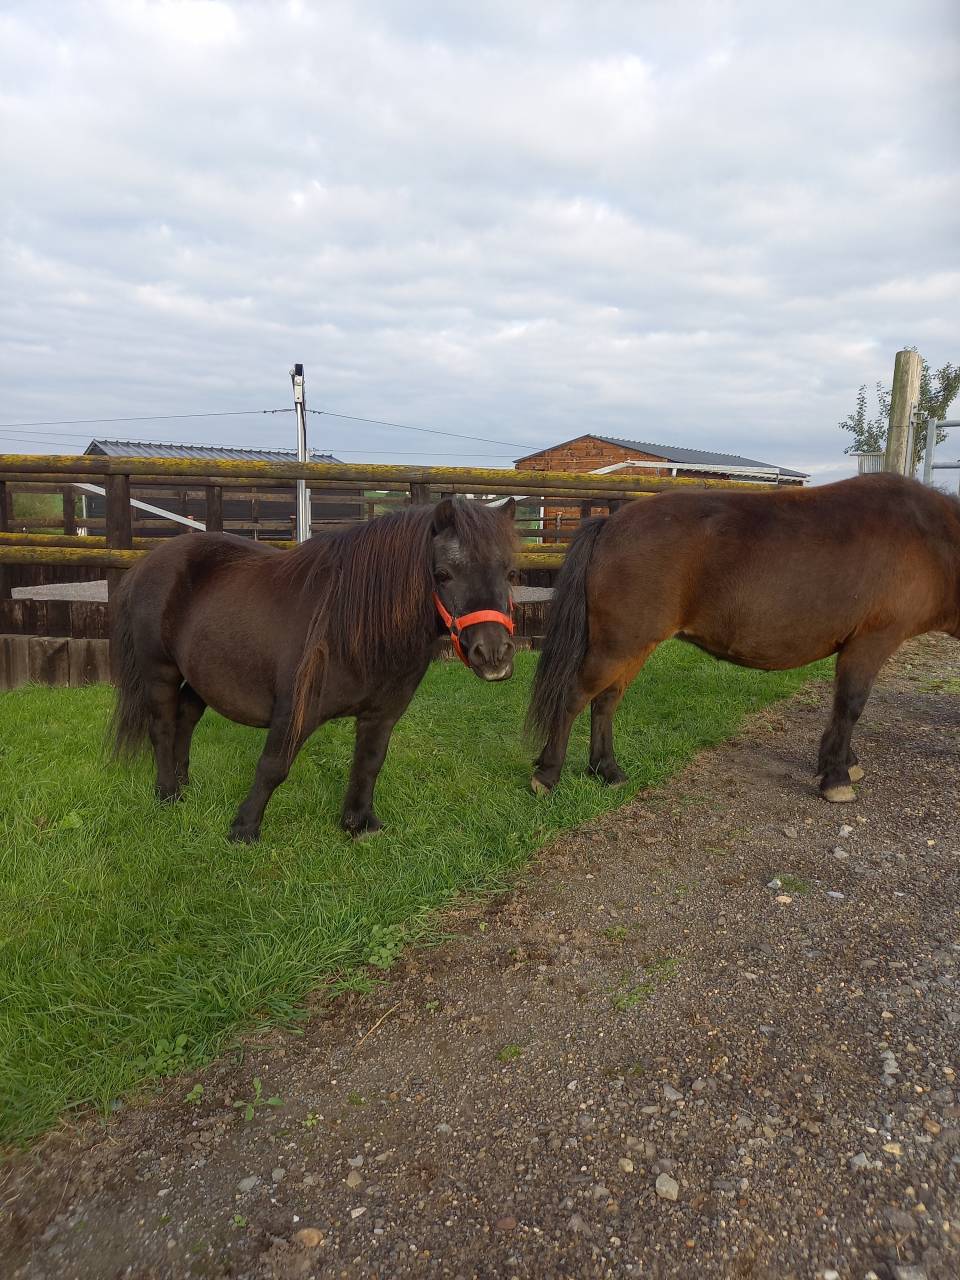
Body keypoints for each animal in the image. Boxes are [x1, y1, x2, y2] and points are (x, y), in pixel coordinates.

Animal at [110, 497, 518, 840]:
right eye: (444, 573)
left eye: (509, 572)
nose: (493, 654)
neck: (349, 623)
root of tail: (148, 561)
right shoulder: (293, 710)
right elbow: (273, 766)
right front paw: (244, 829)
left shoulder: (382, 715)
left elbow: (369, 762)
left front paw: (358, 824)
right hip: (159, 671)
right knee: (162, 727)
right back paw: (167, 794)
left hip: (203, 676)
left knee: (185, 721)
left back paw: (184, 786)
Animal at [527, 473, 960, 803]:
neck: (930, 538)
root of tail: (610, 525)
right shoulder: (872, 641)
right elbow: (851, 706)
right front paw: (837, 778)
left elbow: (843, 707)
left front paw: (842, 763)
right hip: (619, 644)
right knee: (573, 698)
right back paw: (547, 775)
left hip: (631, 646)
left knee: (605, 702)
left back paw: (608, 770)